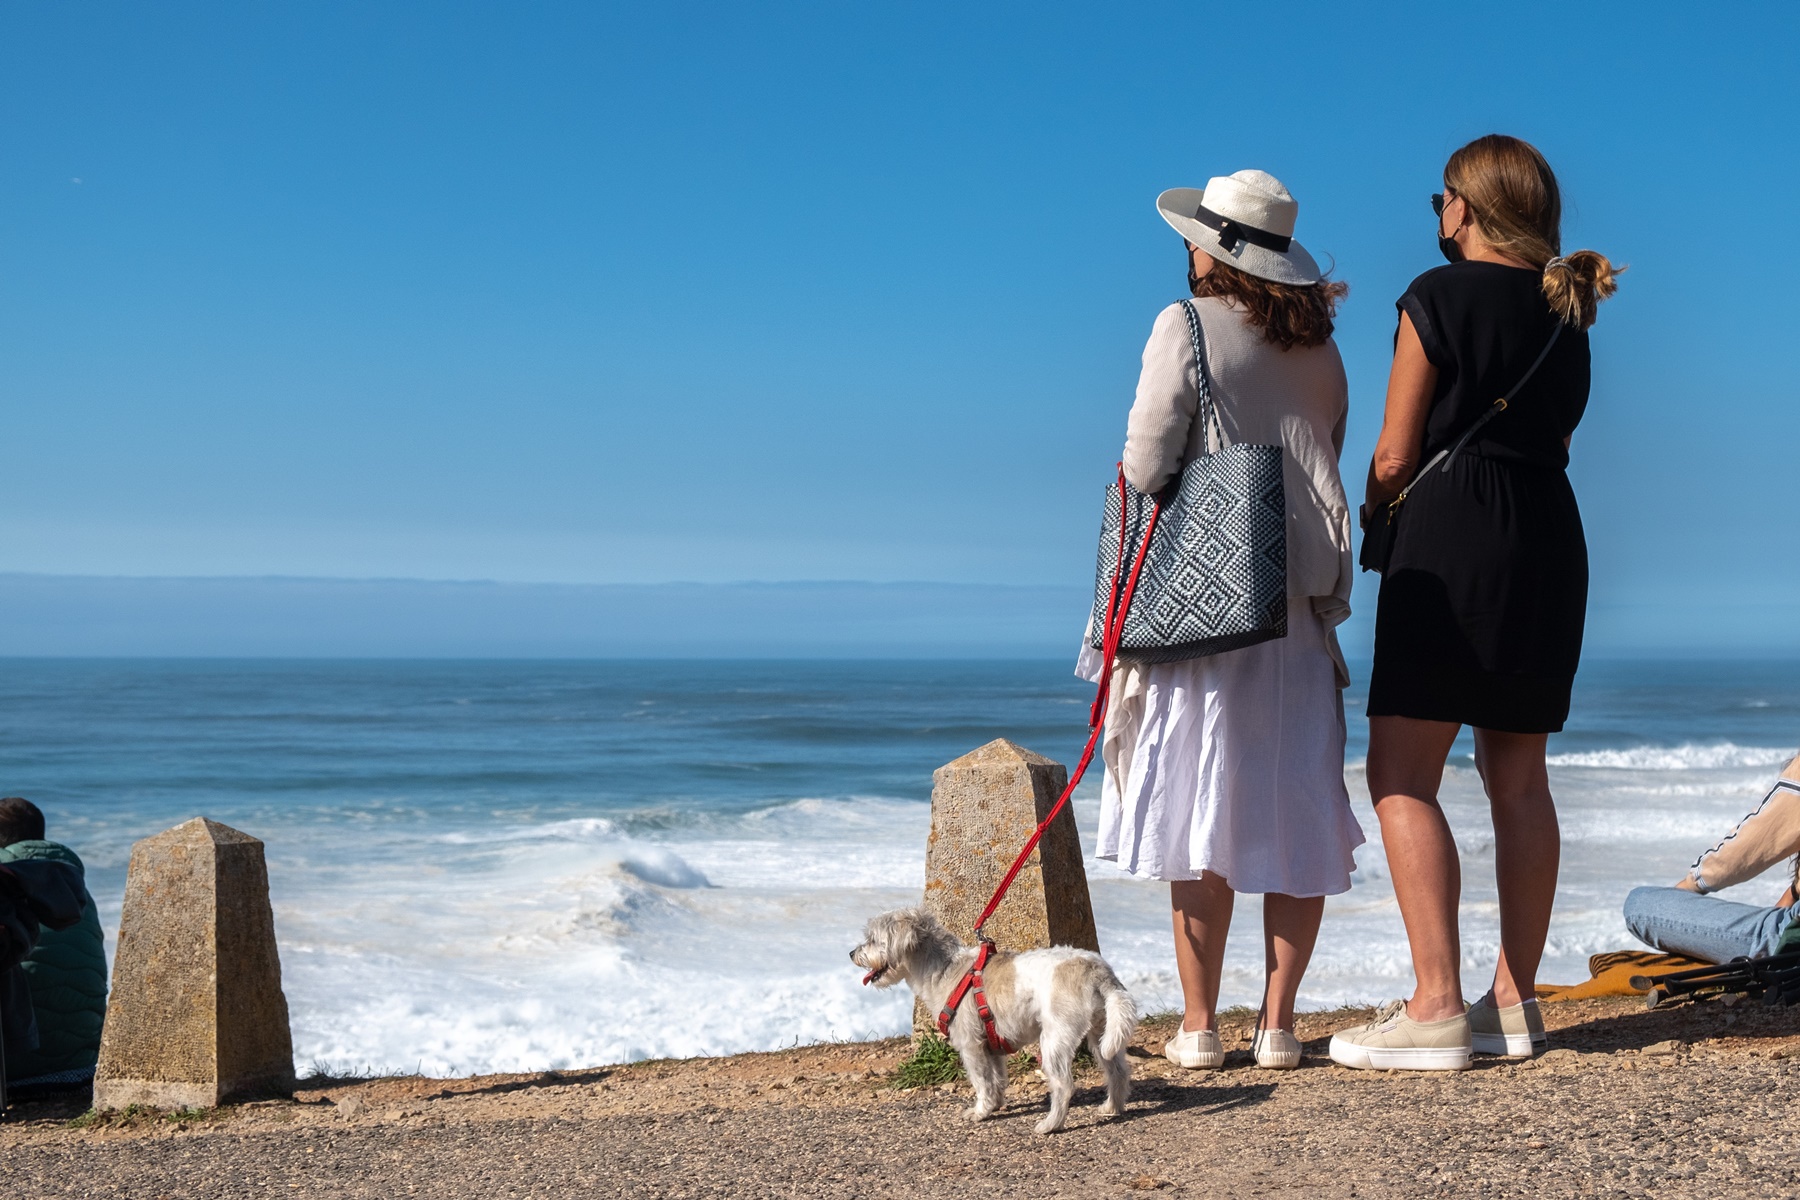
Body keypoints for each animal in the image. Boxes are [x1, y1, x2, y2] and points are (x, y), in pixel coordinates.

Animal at [846, 910, 1130, 1137]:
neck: (945, 970)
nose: (851, 953)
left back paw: (1051, 1124)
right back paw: (1112, 1107)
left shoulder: (970, 1045)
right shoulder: (991, 1046)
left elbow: (981, 1081)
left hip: (1054, 1039)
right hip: (1101, 1033)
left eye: (873, 940)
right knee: (1117, 1070)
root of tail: (1099, 972)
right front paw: (995, 1104)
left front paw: (980, 1111)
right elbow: (996, 1079)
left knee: (1063, 1085)